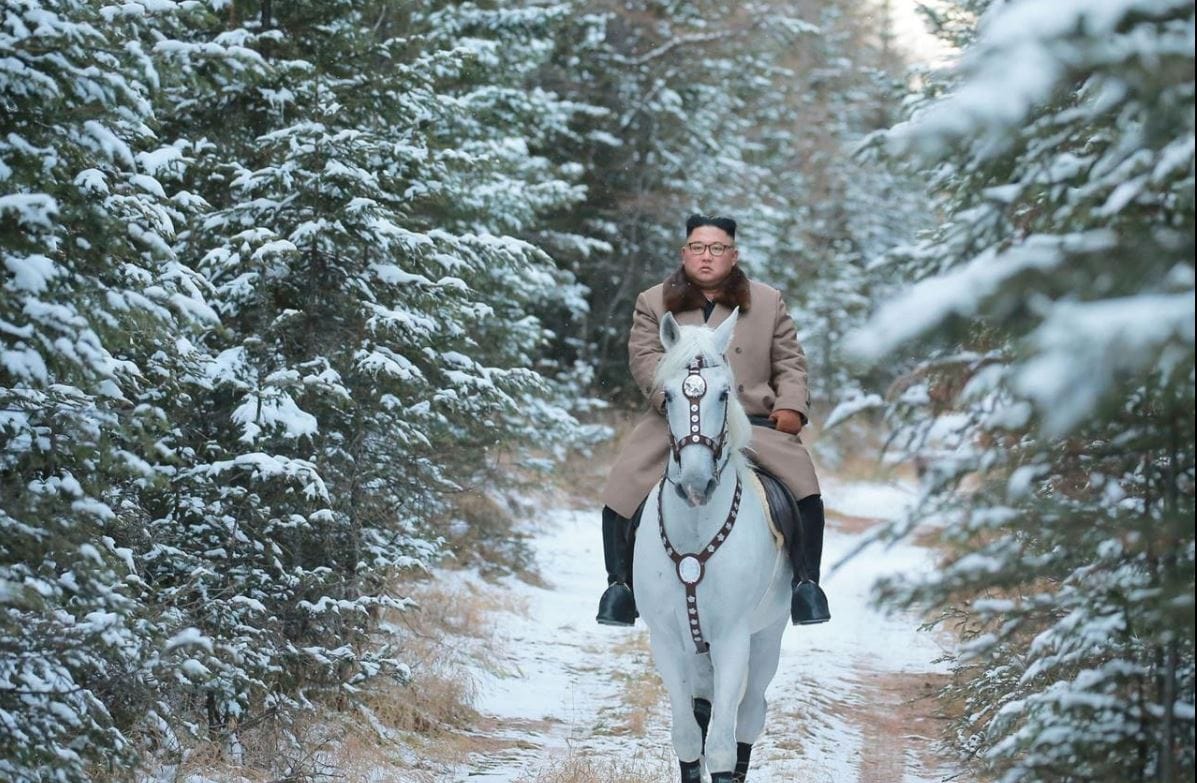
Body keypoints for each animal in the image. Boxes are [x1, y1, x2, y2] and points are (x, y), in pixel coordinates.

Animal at [633, 308, 792, 783]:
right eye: (667, 397)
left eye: (725, 394)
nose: (695, 484)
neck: (696, 530)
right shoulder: (667, 641)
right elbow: (689, 736)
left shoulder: (732, 640)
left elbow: (721, 746)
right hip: (696, 648)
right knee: (703, 709)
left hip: (767, 637)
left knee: (750, 715)